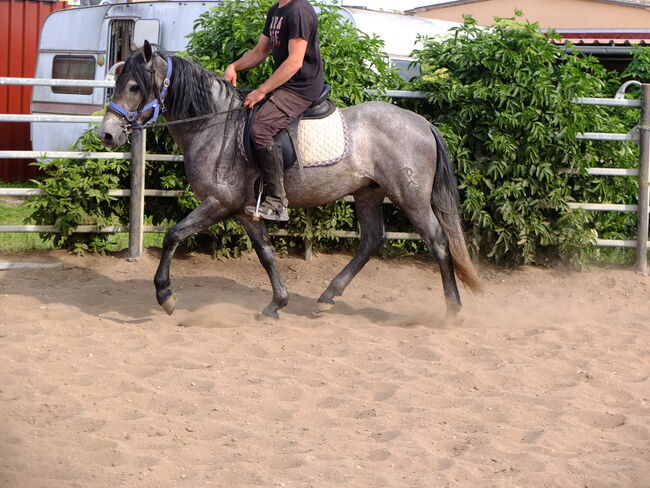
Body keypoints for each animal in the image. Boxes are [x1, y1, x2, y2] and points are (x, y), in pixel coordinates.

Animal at [97, 42, 480, 320]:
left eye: (134, 86)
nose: (107, 134)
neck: (214, 124)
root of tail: (422, 122)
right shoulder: (244, 210)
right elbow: (266, 253)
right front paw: (276, 303)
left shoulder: (219, 203)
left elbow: (173, 235)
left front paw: (165, 295)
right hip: (368, 193)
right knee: (373, 239)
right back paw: (327, 297)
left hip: (410, 196)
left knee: (438, 241)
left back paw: (453, 309)